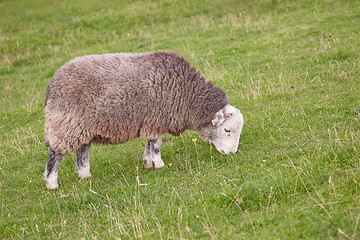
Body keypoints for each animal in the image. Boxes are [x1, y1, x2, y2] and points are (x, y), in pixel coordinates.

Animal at [43, 51, 243, 189]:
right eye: (227, 130)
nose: (232, 153)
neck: (188, 96)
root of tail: (52, 84)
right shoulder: (157, 118)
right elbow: (156, 143)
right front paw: (159, 164)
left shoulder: (151, 121)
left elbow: (149, 143)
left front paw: (148, 163)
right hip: (66, 124)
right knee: (55, 154)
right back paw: (52, 183)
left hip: (83, 126)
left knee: (82, 151)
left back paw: (85, 175)